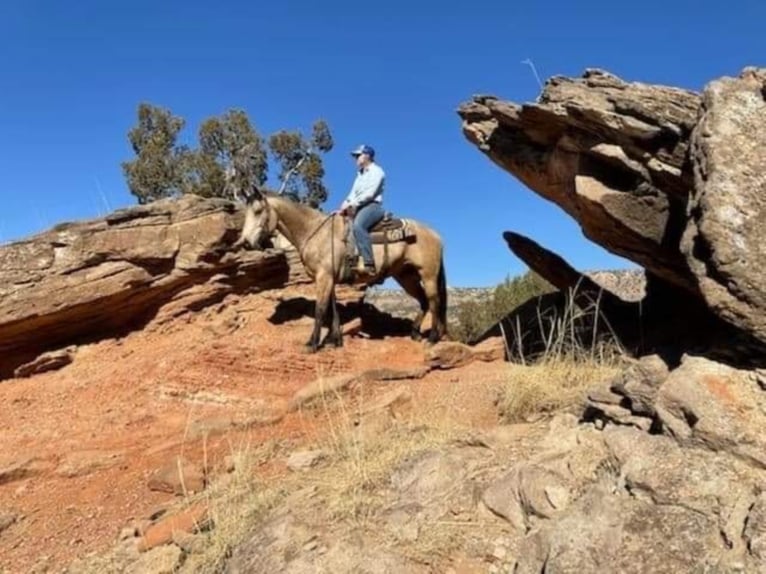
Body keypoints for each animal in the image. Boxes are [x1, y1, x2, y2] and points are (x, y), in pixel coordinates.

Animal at [231, 181, 448, 352]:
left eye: (258, 211)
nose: (246, 243)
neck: (315, 231)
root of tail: (435, 234)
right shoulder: (329, 278)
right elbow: (333, 308)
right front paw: (334, 340)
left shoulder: (324, 277)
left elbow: (320, 309)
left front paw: (312, 343)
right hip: (406, 276)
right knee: (423, 301)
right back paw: (415, 333)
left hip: (428, 274)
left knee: (434, 301)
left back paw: (432, 338)